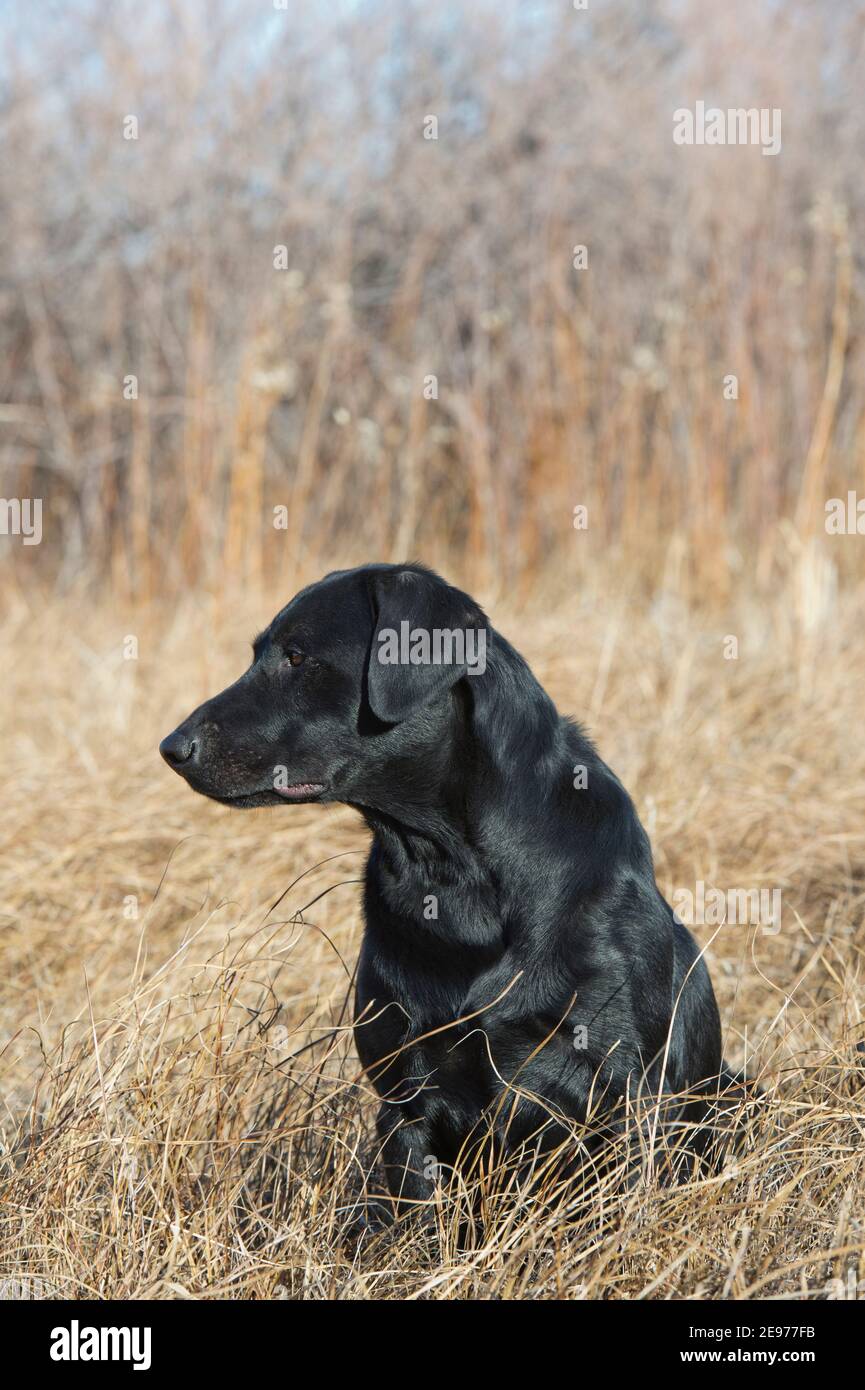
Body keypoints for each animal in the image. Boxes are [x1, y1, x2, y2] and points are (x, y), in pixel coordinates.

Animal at [159, 558, 734, 1212]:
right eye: (259, 653)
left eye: (298, 656)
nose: (172, 748)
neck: (450, 866)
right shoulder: (405, 1103)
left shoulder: (626, 1095)